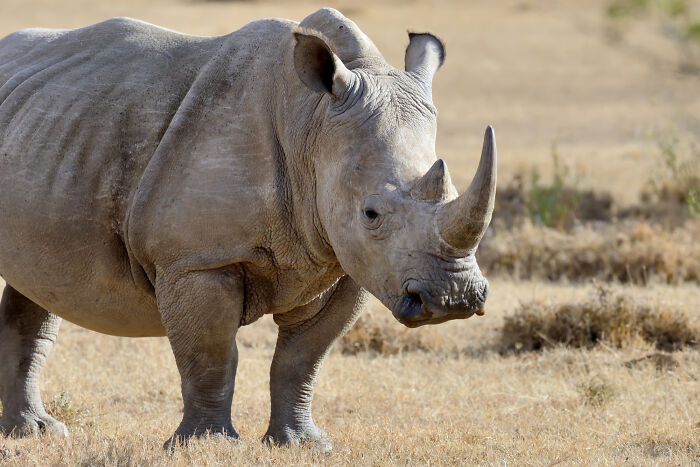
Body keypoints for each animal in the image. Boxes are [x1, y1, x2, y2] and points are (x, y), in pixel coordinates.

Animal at [0, 8, 496, 450]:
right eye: (371, 214)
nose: (454, 298)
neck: (312, 123)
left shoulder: (347, 264)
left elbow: (302, 357)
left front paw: (303, 445)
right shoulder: (198, 259)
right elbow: (212, 355)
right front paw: (208, 446)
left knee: (36, 285)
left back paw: (35, 433)